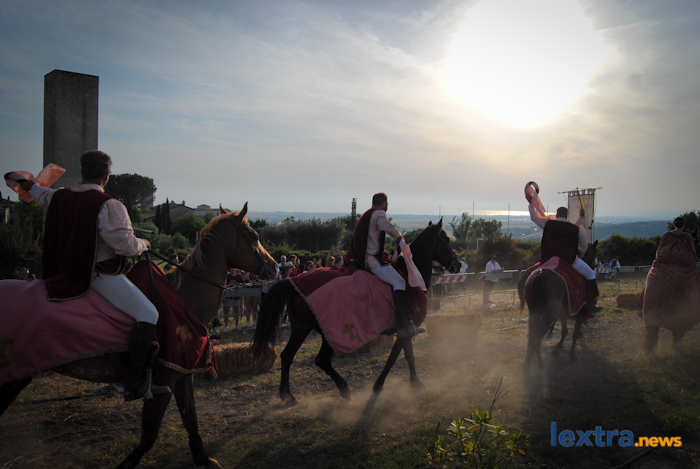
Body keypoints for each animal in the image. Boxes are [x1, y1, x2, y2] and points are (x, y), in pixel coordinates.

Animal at [0, 203, 278, 468]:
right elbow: (149, 435)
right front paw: (127, 463)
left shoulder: (181, 374)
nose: (274, 266)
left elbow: (191, 419)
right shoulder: (163, 380)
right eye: (253, 236)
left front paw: (202, 458)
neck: (183, 298)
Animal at [252, 220, 460, 405]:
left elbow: (409, 356)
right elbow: (393, 358)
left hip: (301, 328)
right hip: (329, 332)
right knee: (321, 360)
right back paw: (344, 389)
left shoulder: (407, 330)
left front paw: (416, 383)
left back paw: (287, 395)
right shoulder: (404, 331)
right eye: (446, 240)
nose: (456, 263)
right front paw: (378, 386)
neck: (408, 275)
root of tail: (293, 282)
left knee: (287, 356)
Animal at [519, 241, 598, 371]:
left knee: (533, 334)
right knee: (537, 335)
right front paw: (572, 354)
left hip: (535, 311)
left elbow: (565, 331)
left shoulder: (563, 312)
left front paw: (558, 347)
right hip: (550, 312)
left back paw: (534, 363)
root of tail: (542, 273)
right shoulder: (580, 313)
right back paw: (530, 366)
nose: (594, 266)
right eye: (595, 253)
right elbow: (574, 333)